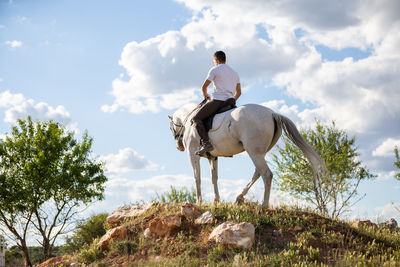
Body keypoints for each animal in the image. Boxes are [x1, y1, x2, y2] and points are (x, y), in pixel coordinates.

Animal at [167, 102, 326, 207]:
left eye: (171, 127)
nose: (179, 146)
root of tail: (273, 114)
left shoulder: (193, 155)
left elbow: (197, 178)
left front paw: (198, 201)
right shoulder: (213, 157)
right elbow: (214, 178)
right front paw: (216, 200)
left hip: (253, 152)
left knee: (266, 174)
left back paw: (263, 205)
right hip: (259, 153)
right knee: (258, 172)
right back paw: (240, 197)